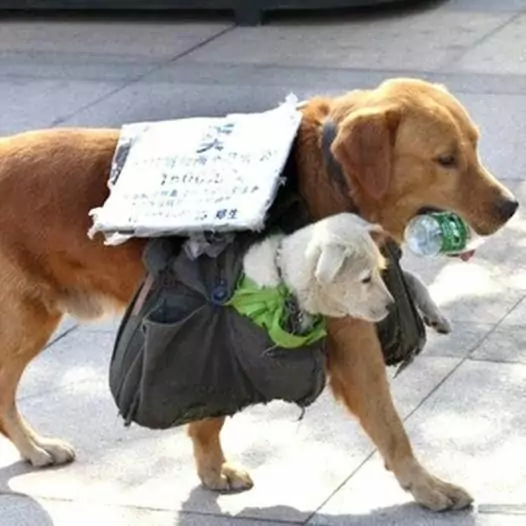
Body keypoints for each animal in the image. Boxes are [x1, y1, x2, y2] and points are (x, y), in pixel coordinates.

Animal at [0, 79, 520, 516]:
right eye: (446, 160)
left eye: (474, 146)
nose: (511, 206)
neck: (330, 176)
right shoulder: (349, 343)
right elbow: (390, 425)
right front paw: (427, 487)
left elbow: (208, 411)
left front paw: (210, 467)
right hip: (24, 324)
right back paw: (33, 447)